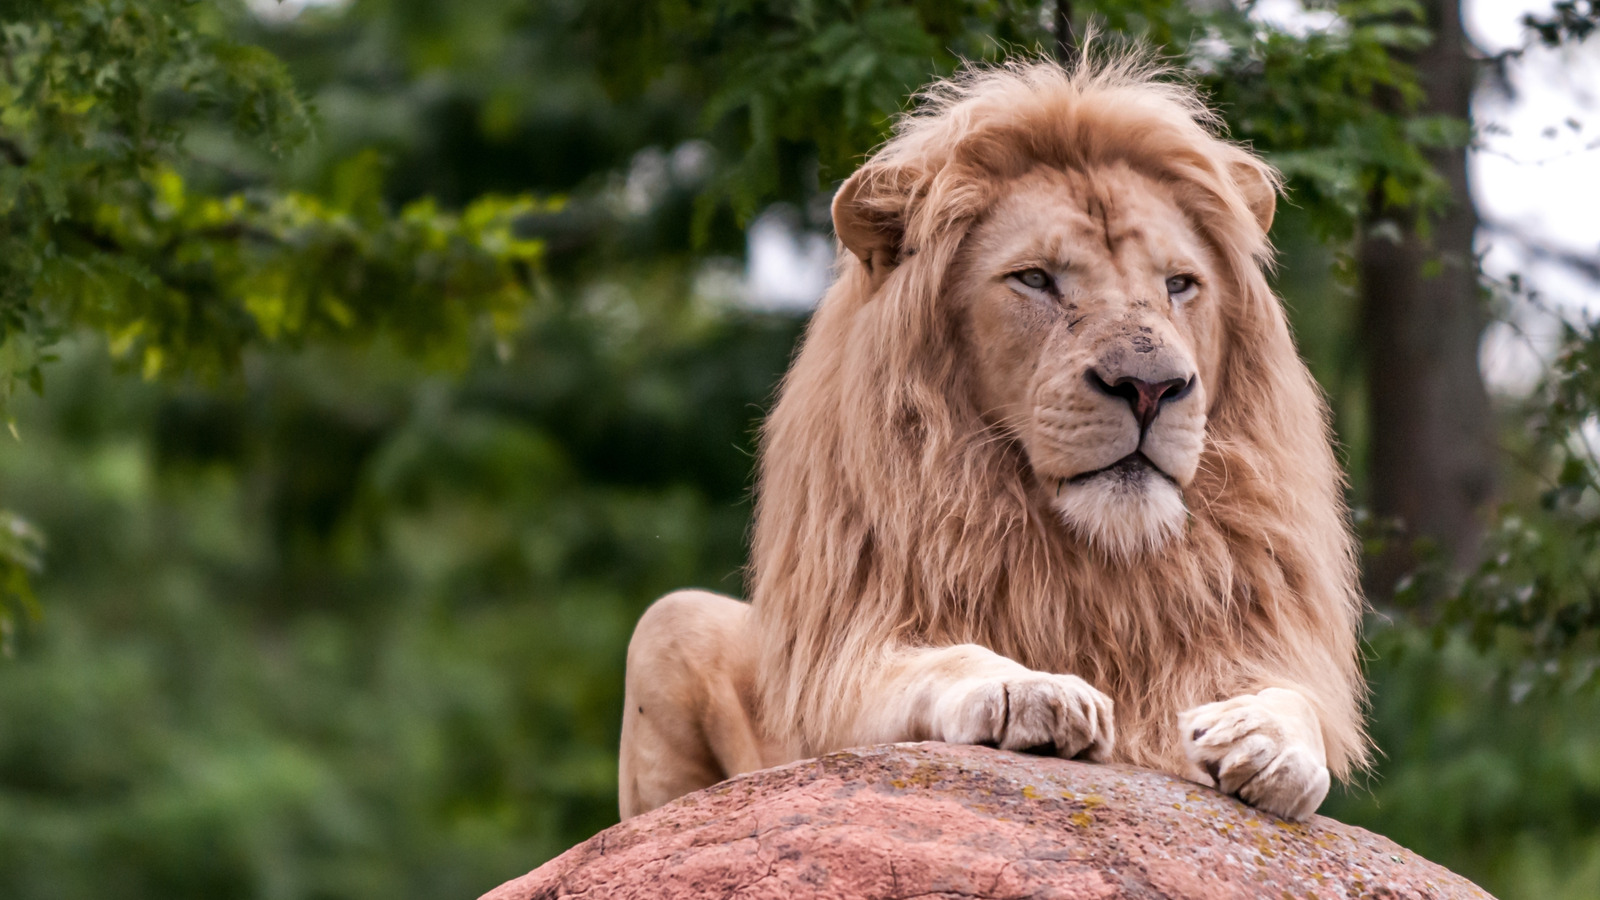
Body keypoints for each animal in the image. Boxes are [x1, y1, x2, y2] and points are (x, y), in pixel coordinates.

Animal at [611, 54, 1363, 819]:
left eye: (1181, 284)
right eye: (1034, 278)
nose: (1151, 388)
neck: (1093, 562)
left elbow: (1296, 702)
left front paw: (1265, 738)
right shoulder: (836, 673)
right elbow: (942, 659)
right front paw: (1030, 689)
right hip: (672, 622)